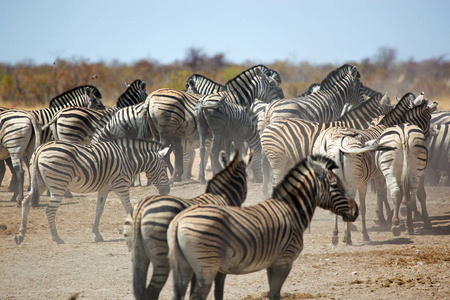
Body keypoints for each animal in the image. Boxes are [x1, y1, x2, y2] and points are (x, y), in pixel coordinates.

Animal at [14, 139, 171, 245]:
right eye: (164, 168)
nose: (167, 191)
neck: (129, 159)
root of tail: (40, 149)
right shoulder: (121, 185)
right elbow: (130, 209)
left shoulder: (104, 188)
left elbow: (99, 210)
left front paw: (97, 234)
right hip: (58, 184)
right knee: (50, 210)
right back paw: (56, 238)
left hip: (40, 183)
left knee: (26, 203)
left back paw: (21, 235)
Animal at [124, 149, 253, 300]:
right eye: (246, 176)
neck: (221, 196)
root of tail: (141, 208)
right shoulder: (220, 260)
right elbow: (218, 290)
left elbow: (193, 287)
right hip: (162, 258)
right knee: (152, 291)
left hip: (138, 254)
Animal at [147, 66, 282, 182]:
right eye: (271, 84)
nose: (280, 100)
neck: (235, 97)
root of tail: (150, 98)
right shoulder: (227, 130)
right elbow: (225, 150)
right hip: (167, 130)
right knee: (165, 151)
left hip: (160, 131)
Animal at [166, 155, 358, 300]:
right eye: (335, 186)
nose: (356, 211)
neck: (292, 210)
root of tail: (178, 220)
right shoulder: (284, 261)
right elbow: (275, 294)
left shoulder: (272, 264)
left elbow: (272, 293)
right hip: (206, 267)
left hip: (185, 267)